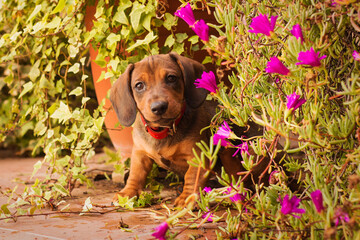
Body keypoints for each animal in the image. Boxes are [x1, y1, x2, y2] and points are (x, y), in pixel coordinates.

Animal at [109, 52, 242, 206]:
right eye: (139, 85)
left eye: (171, 78)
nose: (159, 107)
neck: (163, 131)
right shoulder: (139, 153)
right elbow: (136, 174)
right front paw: (126, 193)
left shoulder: (198, 156)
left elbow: (192, 177)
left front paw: (187, 197)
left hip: (227, 150)